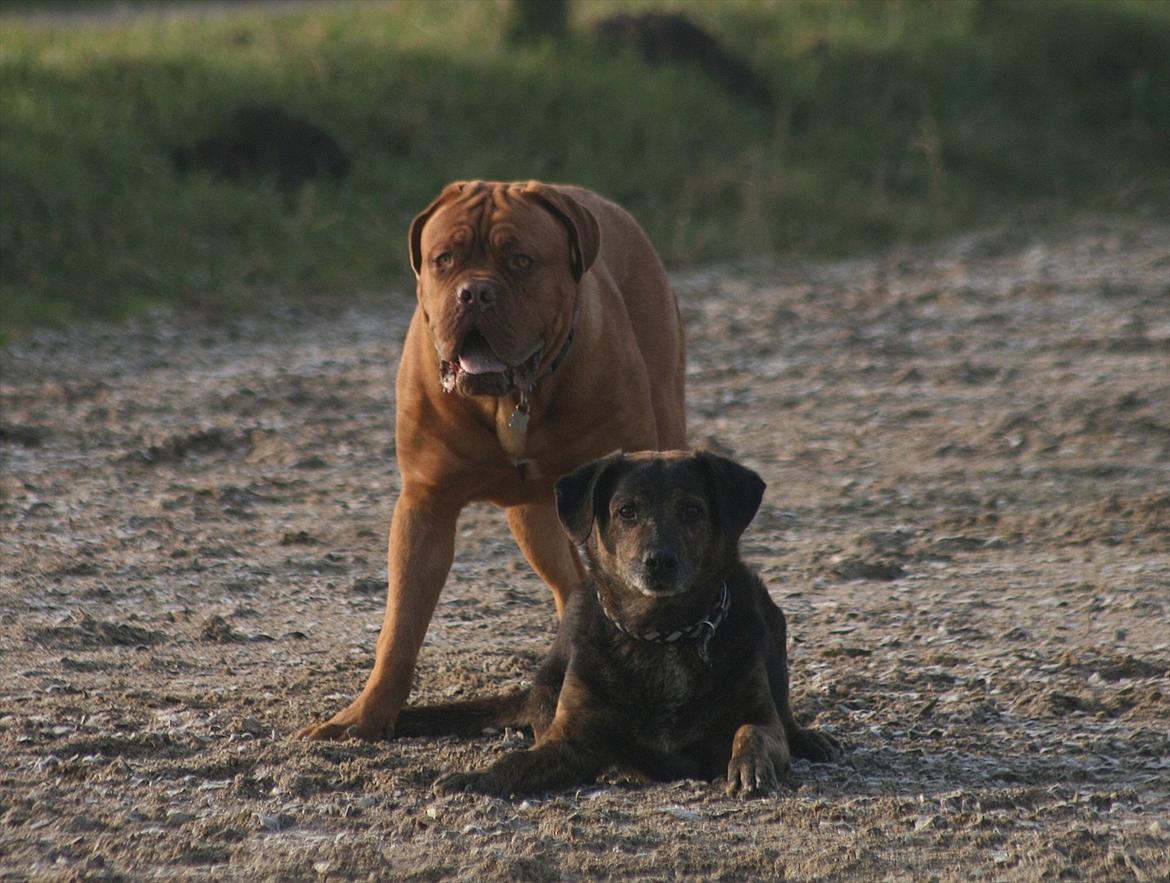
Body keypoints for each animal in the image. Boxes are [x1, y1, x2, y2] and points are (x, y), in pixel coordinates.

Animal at [297, 183, 687, 743]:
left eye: (520, 260)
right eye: (444, 259)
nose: (475, 293)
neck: (512, 401)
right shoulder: (426, 506)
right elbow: (400, 628)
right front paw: (363, 717)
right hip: (535, 522)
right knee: (570, 587)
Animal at [397, 451, 847, 799]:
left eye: (692, 510)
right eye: (626, 512)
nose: (659, 562)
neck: (662, 635)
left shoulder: (757, 716)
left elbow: (753, 731)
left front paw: (749, 767)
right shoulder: (573, 742)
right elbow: (517, 761)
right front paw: (474, 779)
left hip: (770, 617)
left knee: (784, 710)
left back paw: (807, 737)